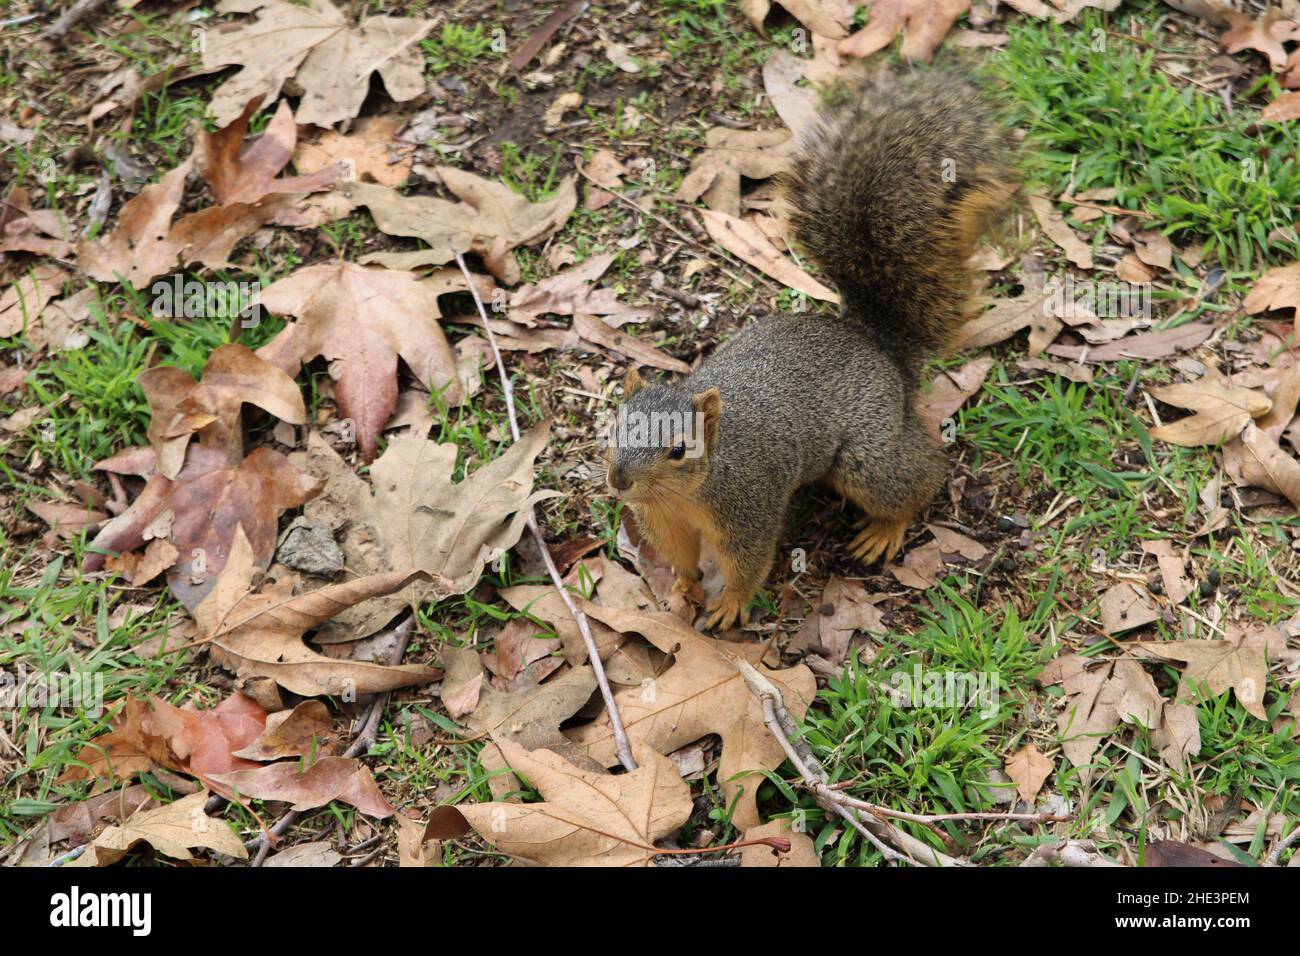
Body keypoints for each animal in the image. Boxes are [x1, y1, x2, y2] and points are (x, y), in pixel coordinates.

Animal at [605, 72, 1013, 629]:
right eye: (616, 425)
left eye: (679, 450)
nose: (619, 481)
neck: (687, 494)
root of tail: (873, 343)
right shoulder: (665, 521)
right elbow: (681, 557)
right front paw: (681, 589)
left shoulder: (749, 508)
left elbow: (749, 562)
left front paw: (730, 604)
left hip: (867, 457)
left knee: (920, 476)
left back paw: (885, 529)